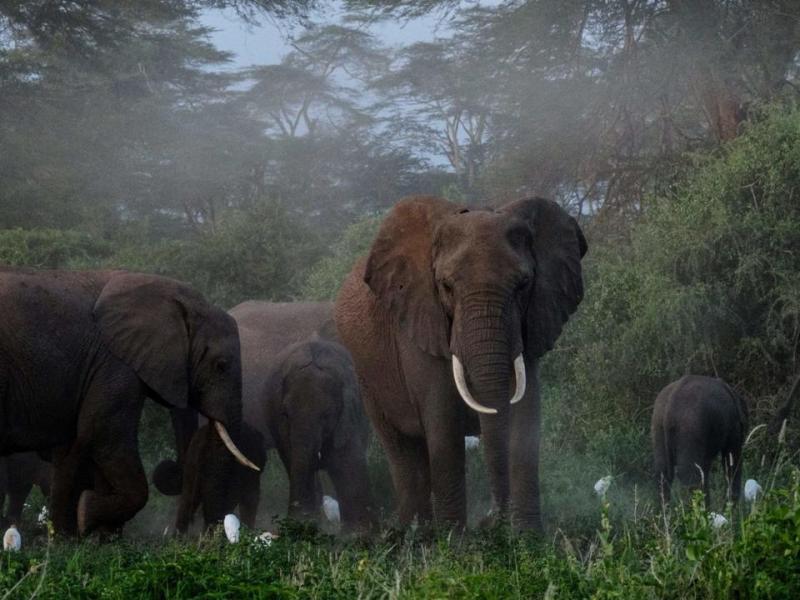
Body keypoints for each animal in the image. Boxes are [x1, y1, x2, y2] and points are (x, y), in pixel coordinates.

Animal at [0, 269, 257, 536]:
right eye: (221, 365)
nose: (170, 467)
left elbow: (74, 445)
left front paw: (75, 537)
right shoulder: (113, 363)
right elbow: (105, 436)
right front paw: (86, 514)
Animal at [335, 195, 587, 531]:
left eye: (523, 285)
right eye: (446, 286)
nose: (492, 521)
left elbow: (525, 417)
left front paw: (529, 538)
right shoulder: (419, 324)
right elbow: (443, 425)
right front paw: (455, 542)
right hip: (367, 377)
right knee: (403, 452)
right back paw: (415, 535)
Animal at [651, 375, 748, 506]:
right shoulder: (734, 426)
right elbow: (732, 459)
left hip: (658, 424)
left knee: (663, 473)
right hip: (691, 426)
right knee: (691, 476)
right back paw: (702, 510)